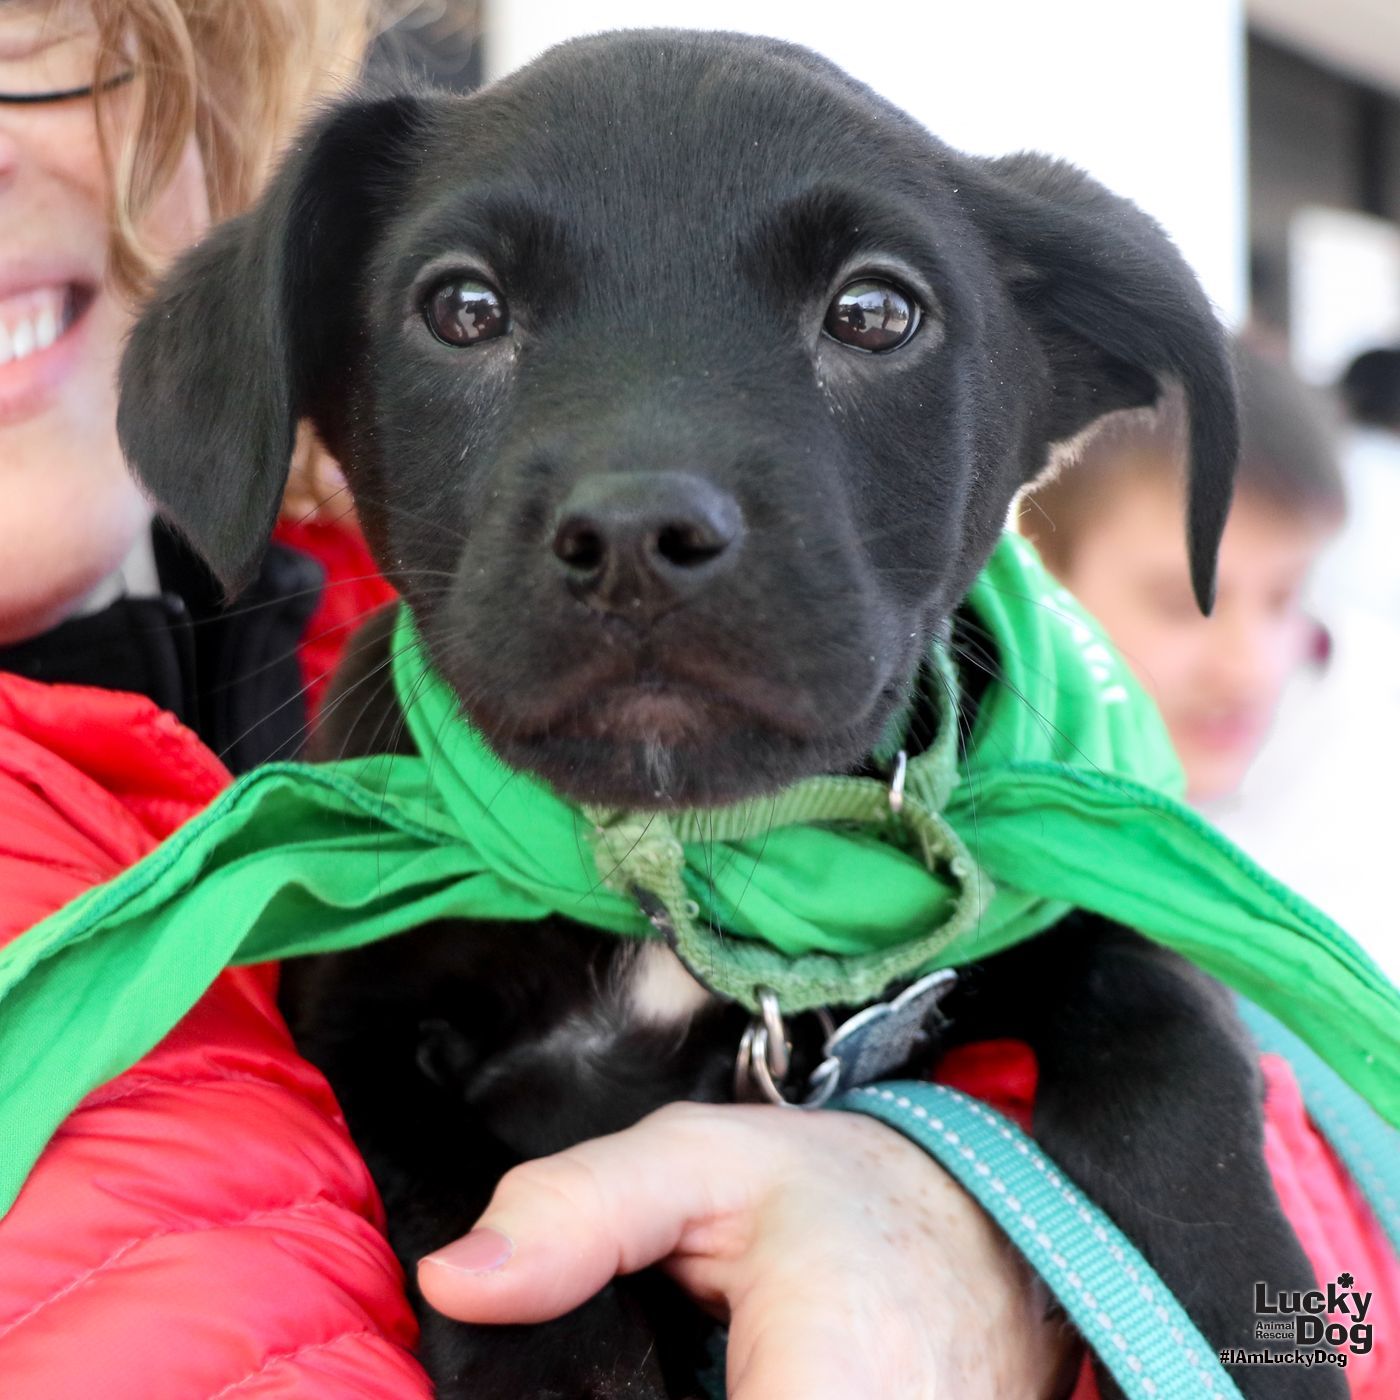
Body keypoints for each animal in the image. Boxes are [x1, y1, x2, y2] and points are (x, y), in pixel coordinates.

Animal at [114, 32, 1338, 1400]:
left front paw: (1253, 1329)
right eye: (461, 308)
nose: (635, 537)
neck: (676, 862)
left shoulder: (1075, 909)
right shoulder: (361, 1025)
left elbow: (1173, 1062)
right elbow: (510, 1262)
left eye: (872, 312)